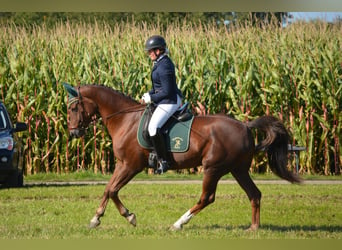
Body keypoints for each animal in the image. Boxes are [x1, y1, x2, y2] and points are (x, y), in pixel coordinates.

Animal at [64, 83, 300, 230]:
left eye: (74, 108)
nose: (74, 133)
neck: (125, 120)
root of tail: (244, 125)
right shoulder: (122, 164)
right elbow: (108, 189)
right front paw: (95, 219)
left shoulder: (131, 165)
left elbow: (113, 190)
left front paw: (130, 217)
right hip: (238, 169)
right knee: (254, 194)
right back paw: (254, 227)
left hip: (212, 169)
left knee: (207, 198)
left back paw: (178, 223)